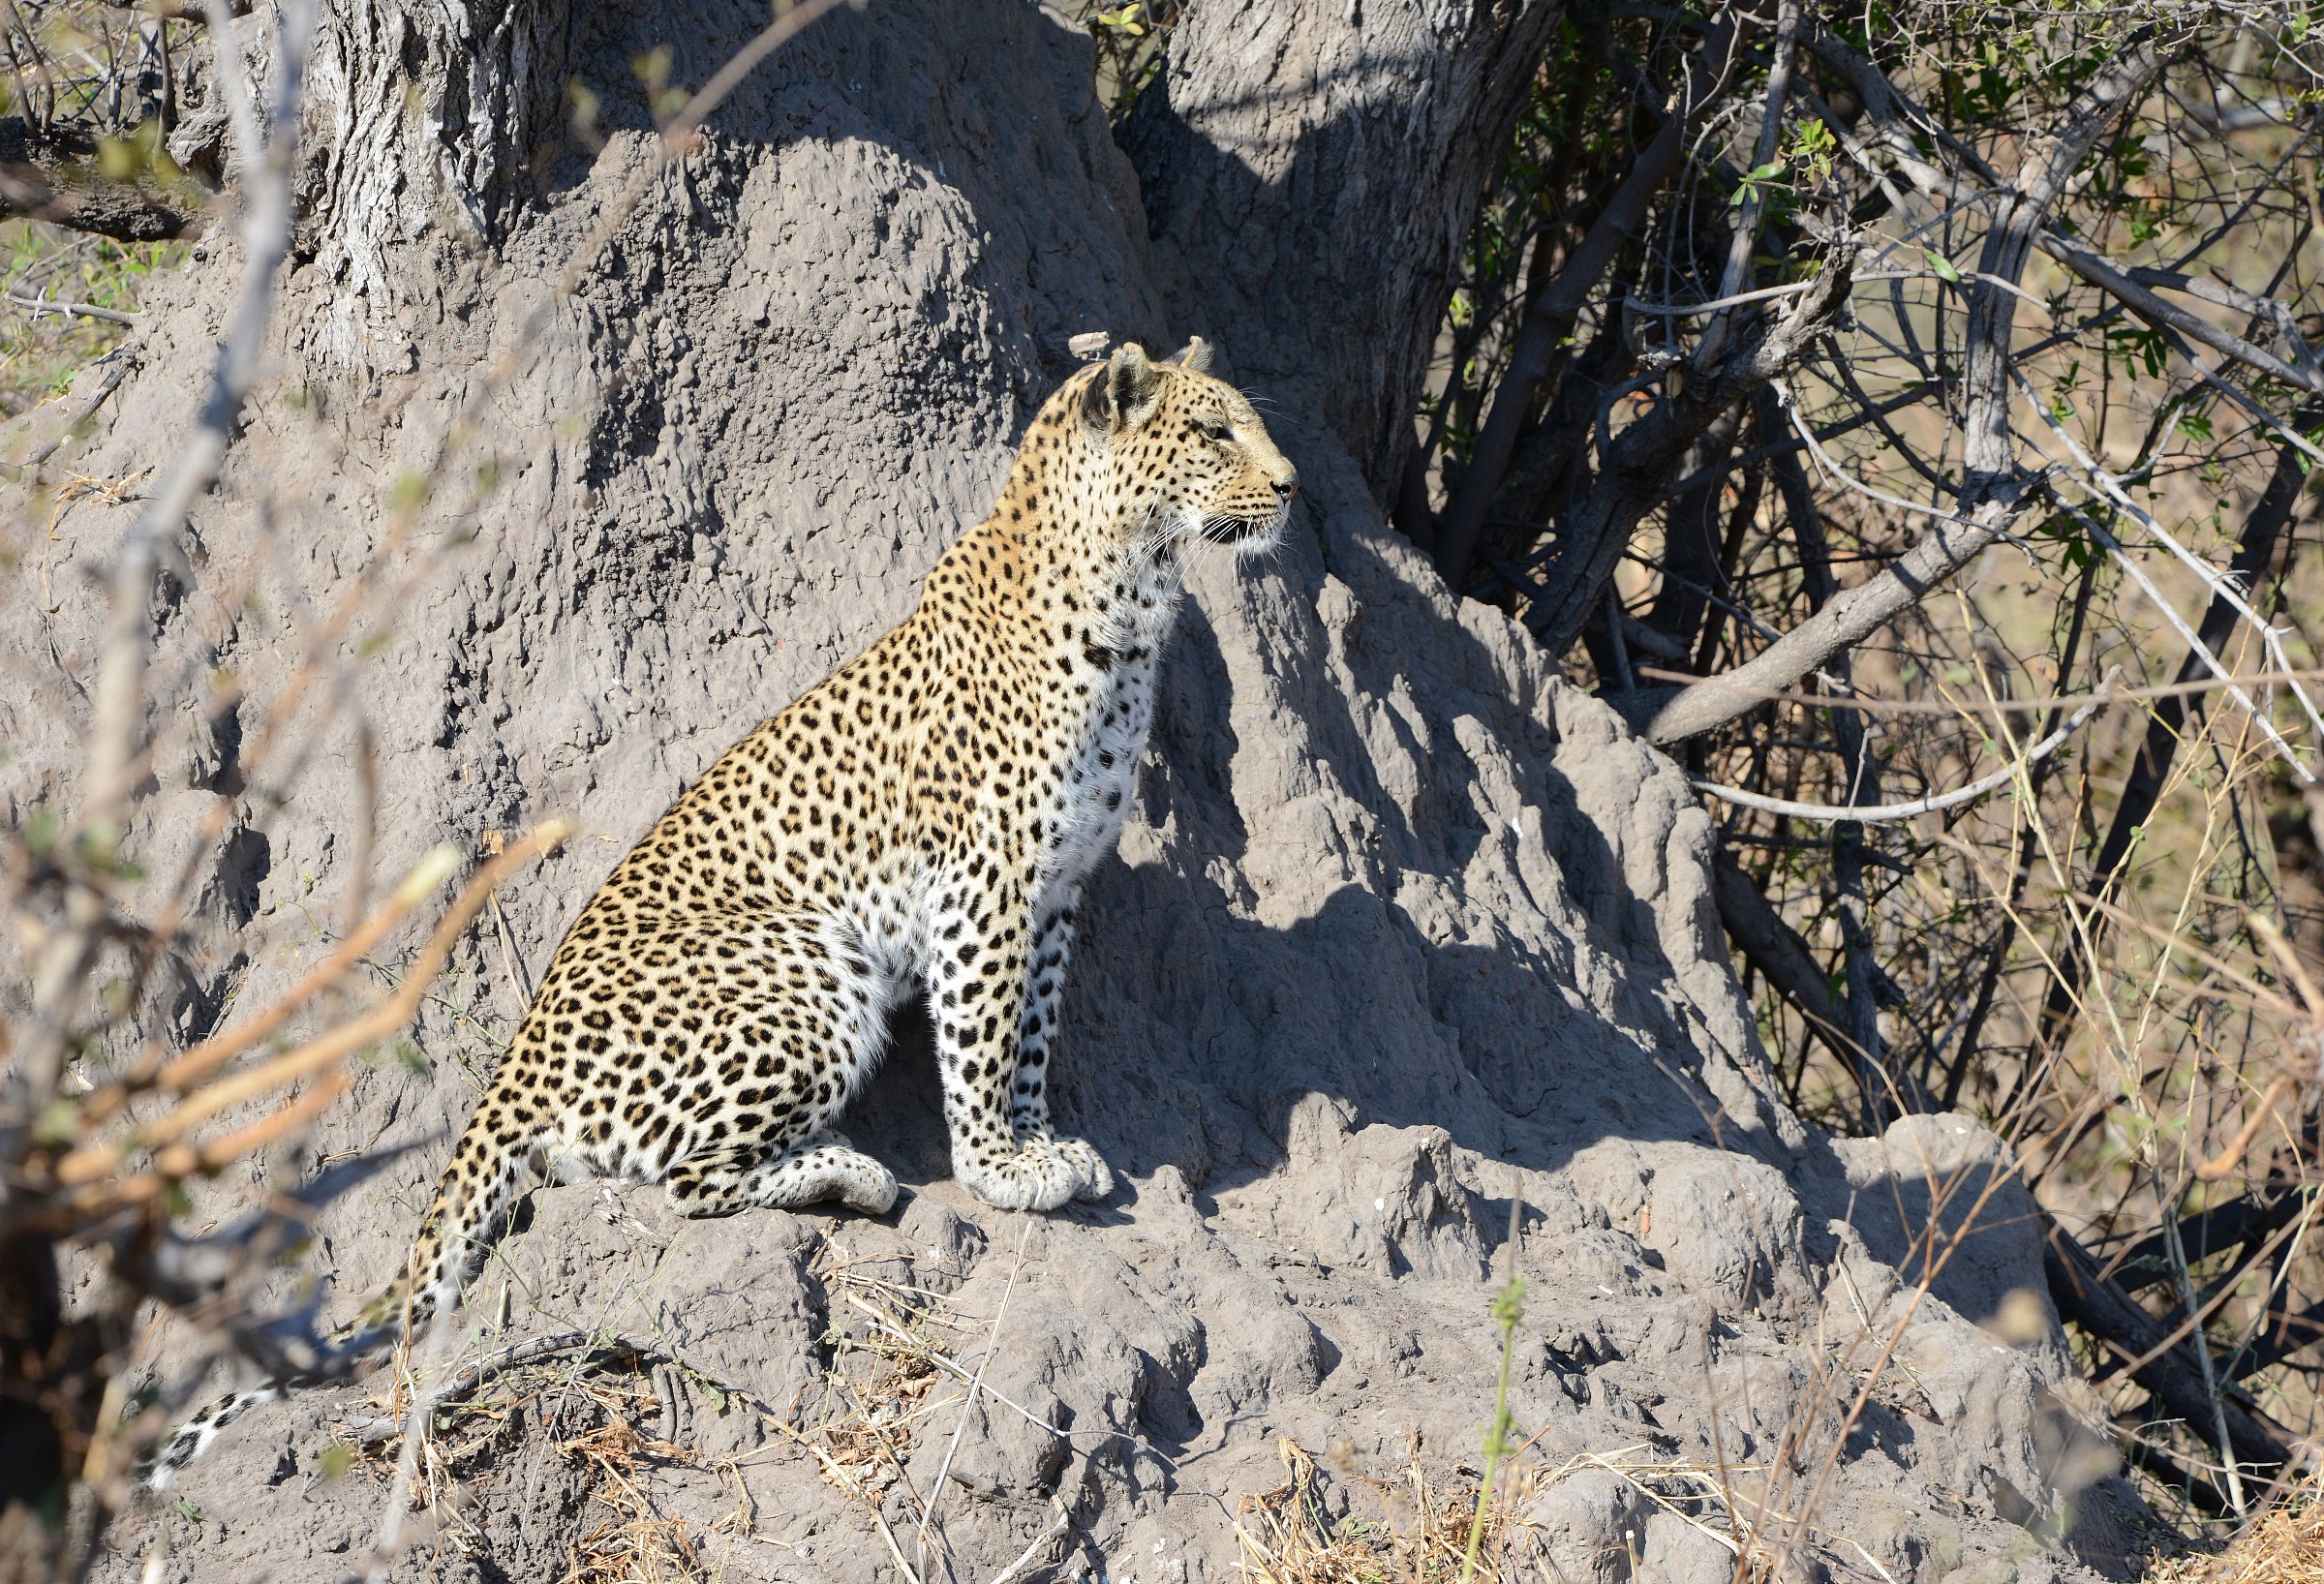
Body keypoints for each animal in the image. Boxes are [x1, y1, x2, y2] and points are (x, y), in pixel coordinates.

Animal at [145, 337, 1297, 1484]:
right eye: (1212, 432)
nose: (1290, 485)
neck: (1128, 605)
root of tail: (513, 1063)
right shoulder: (984, 886)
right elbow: (981, 1039)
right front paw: (997, 1170)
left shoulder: (1056, 892)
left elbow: (1033, 1036)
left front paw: (1041, 1139)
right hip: (812, 976)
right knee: (684, 1180)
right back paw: (856, 1175)